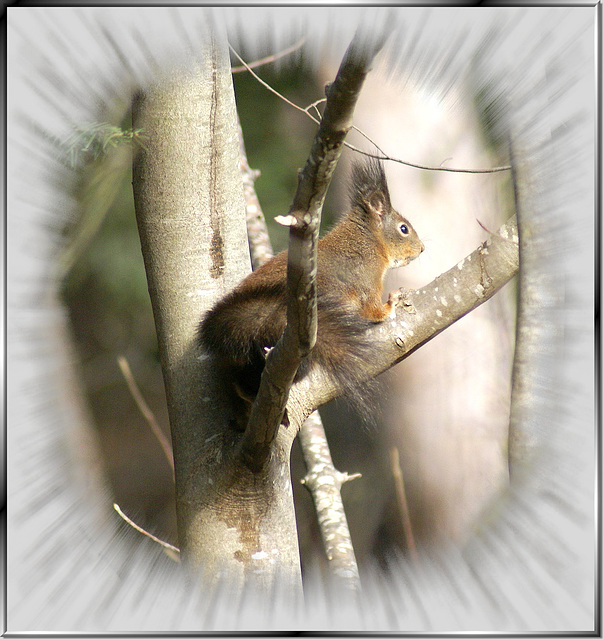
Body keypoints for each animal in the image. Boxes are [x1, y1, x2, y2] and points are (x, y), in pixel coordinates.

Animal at [196, 158, 422, 430]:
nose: (422, 249)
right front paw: (393, 303)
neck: (367, 242)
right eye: (403, 229)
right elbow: (374, 310)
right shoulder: (365, 281)